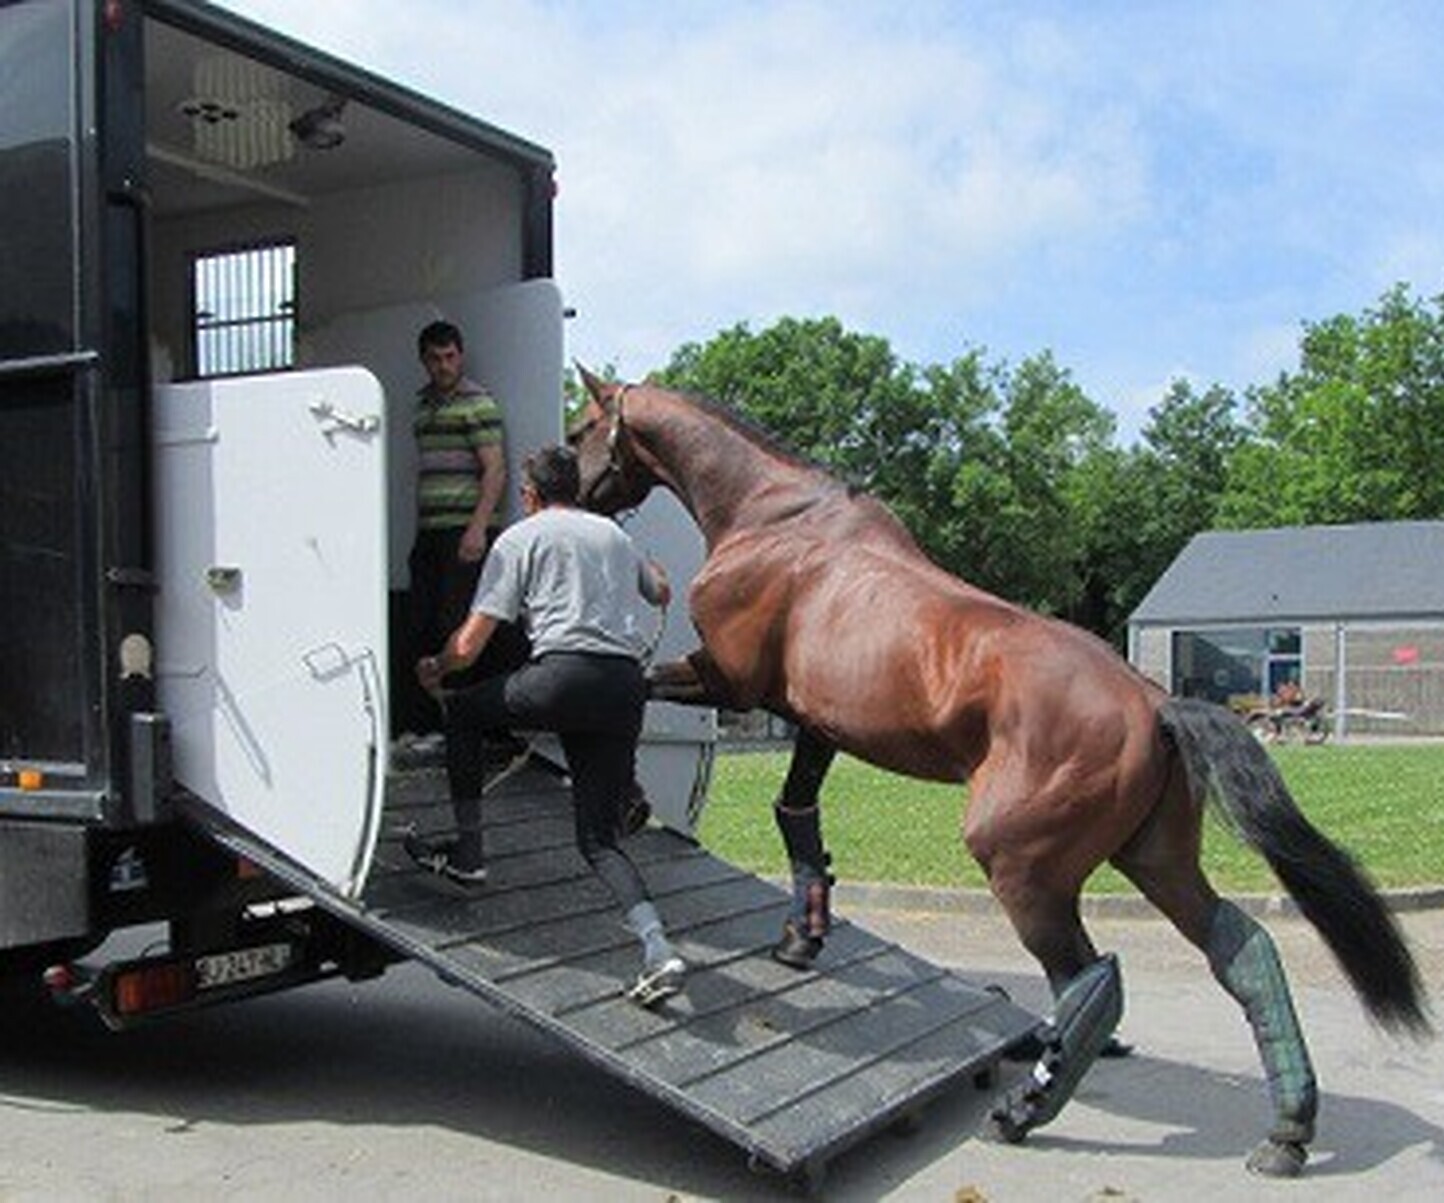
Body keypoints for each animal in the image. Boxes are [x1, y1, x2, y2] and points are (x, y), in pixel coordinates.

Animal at [567, 369, 1431, 1178]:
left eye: (582, 427)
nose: (562, 479)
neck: (777, 519)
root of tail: (1155, 705)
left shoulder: (730, 681)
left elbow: (638, 690)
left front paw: (633, 798)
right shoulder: (814, 723)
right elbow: (795, 813)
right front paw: (801, 937)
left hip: (1024, 866)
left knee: (1093, 978)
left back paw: (1026, 1109)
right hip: (1156, 858)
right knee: (1242, 952)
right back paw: (1287, 1131)